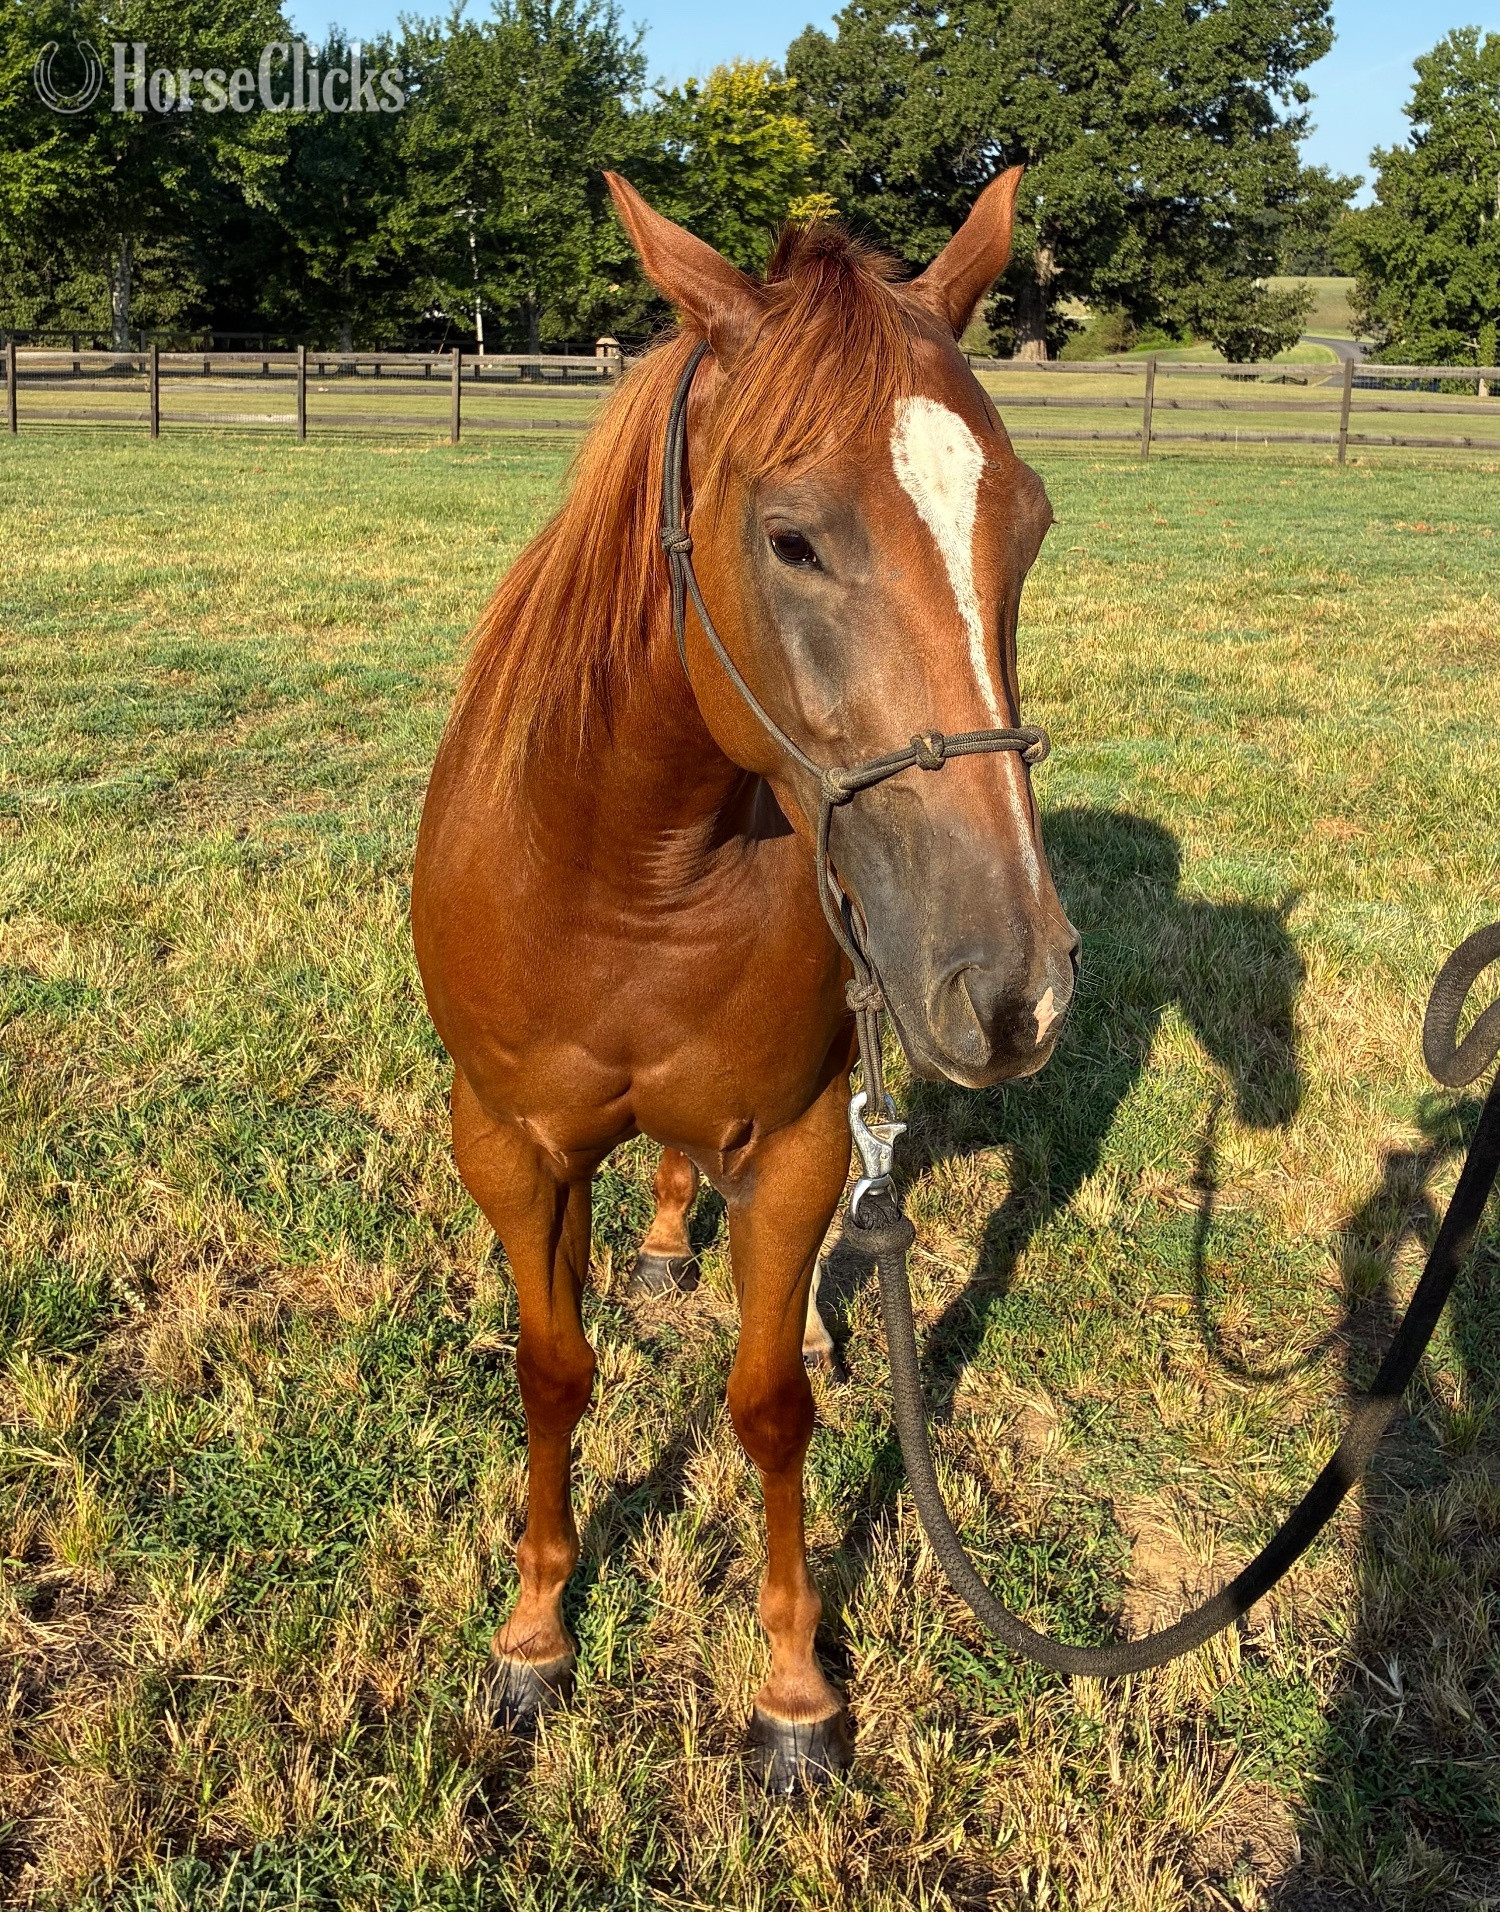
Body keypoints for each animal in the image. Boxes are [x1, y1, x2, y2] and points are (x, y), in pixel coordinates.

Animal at [410, 167, 1080, 1791]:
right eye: (792, 540)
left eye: (1024, 525)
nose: (1016, 987)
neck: (633, 876)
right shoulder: (507, 1142)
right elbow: (552, 1370)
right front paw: (535, 1637)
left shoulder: (795, 1135)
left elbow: (772, 1405)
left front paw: (792, 1690)